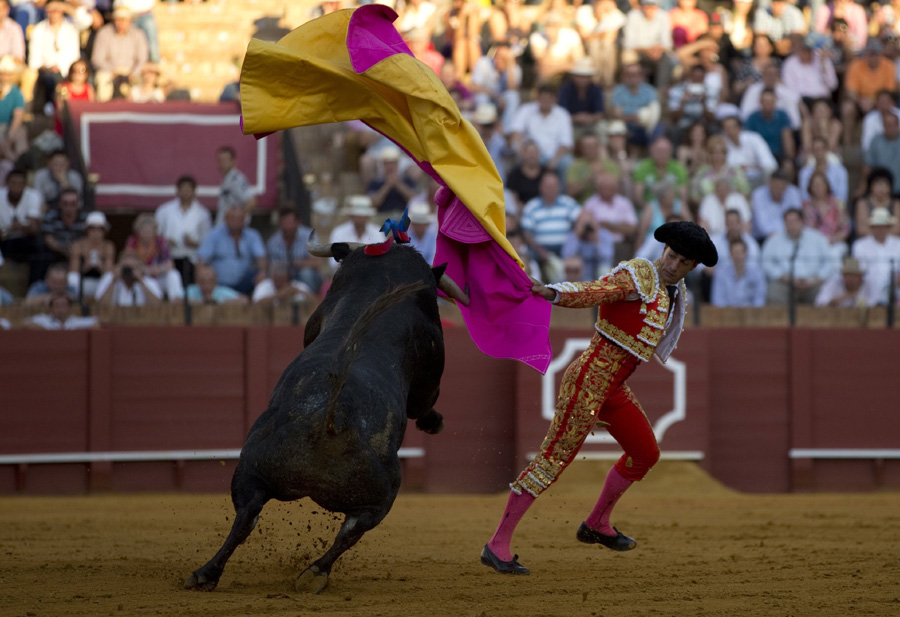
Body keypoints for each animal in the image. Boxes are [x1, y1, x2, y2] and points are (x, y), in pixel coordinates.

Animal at [181, 241, 464, 592]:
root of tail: (328, 421)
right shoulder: (431, 367)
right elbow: (425, 400)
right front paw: (434, 422)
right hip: (382, 495)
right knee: (351, 531)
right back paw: (315, 571)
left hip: (251, 467)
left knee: (247, 515)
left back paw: (206, 573)